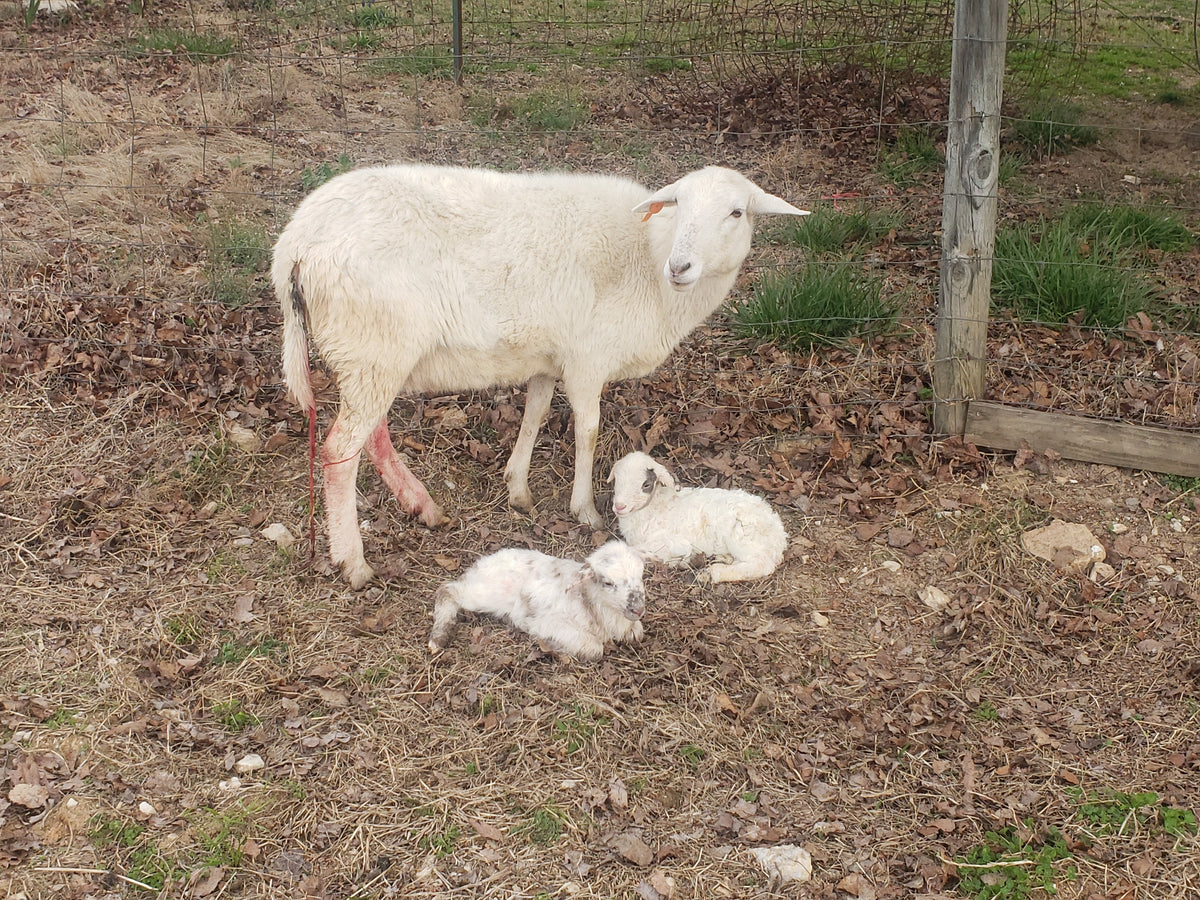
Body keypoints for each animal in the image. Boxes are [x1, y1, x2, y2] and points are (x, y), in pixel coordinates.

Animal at [427, 541, 647, 661]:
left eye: (641, 575)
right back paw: (438, 638)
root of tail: (482, 563)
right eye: (608, 583)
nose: (639, 609)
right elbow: (594, 649)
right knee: (447, 591)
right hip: (483, 593)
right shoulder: (549, 623)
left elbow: (638, 632)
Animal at [607, 451, 787, 584]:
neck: (653, 508)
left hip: (743, 536)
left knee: (760, 565)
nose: (619, 506)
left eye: (646, 484)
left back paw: (716, 572)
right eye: (617, 480)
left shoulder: (673, 541)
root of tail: (779, 536)